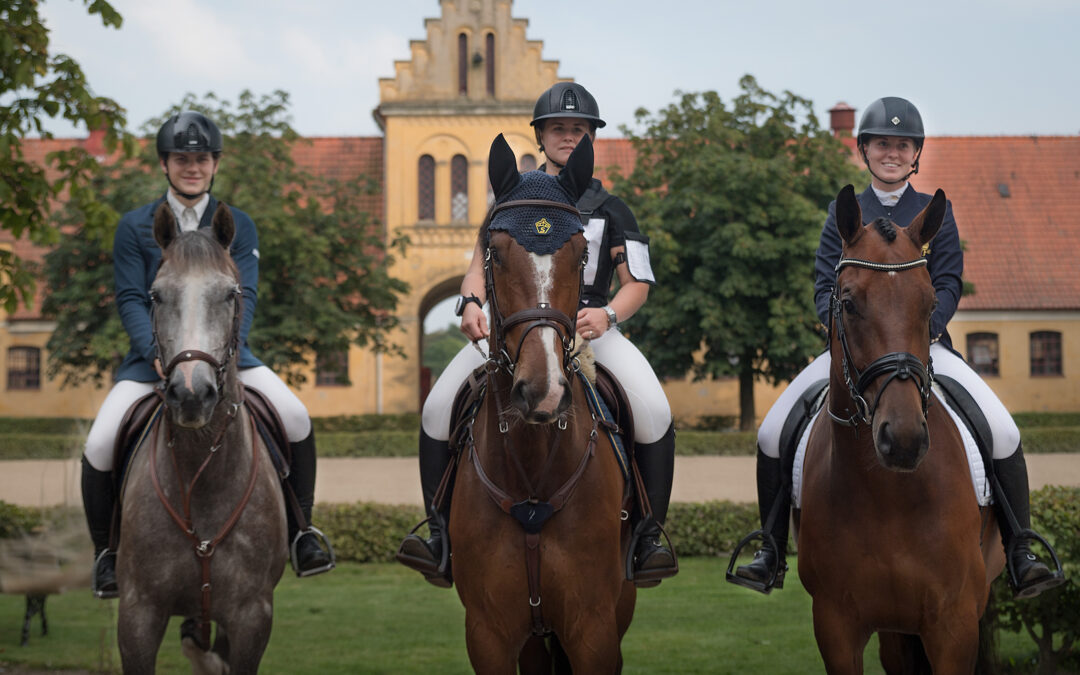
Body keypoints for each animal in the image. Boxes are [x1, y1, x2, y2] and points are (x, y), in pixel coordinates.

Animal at [115, 203, 287, 669]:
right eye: (156, 295)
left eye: (230, 294)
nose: (192, 394)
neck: (201, 476)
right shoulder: (138, 613)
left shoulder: (251, 616)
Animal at [444, 134, 630, 669]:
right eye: (495, 251)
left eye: (582, 251)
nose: (543, 391)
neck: (531, 472)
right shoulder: (489, 633)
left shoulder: (594, 629)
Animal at [799, 181, 1006, 669]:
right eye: (848, 303)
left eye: (930, 304)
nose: (905, 439)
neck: (887, 496)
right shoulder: (835, 625)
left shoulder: (954, 625)